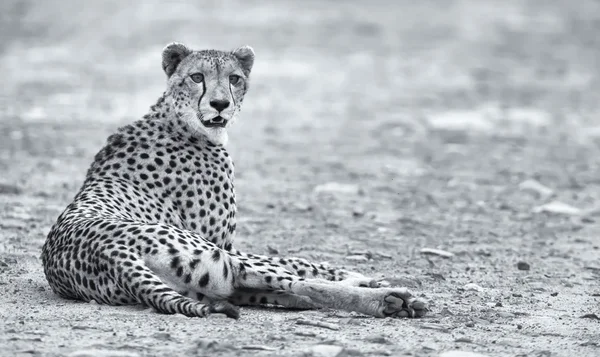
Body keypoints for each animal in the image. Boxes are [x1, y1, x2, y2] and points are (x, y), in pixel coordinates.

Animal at [41, 43, 426, 318]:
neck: (181, 122)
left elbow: (299, 265)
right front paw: (367, 278)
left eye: (235, 78)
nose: (219, 104)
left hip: (206, 282)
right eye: (197, 77)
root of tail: (108, 251)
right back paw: (389, 300)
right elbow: (300, 262)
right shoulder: (223, 244)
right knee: (296, 283)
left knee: (273, 290)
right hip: (219, 260)